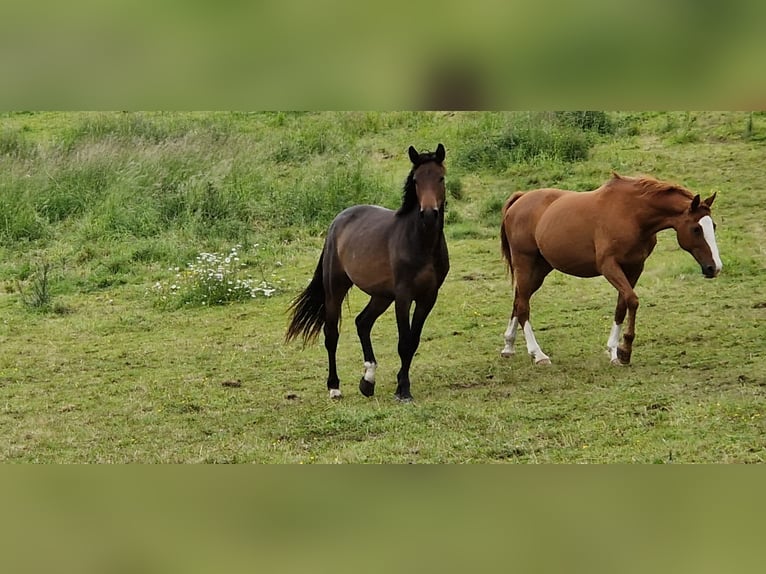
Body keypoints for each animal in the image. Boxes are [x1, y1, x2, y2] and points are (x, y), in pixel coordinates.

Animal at [286, 144, 449, 401]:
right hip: (336, 289)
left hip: (381, 295)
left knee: (362, 322)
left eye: (440, 178)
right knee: (331, 334)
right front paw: (403, 390)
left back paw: (368, 381)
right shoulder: (403, 296)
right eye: (416, 180)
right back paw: (334, 387)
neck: (421, 243)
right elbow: (404, 342)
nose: (429, 214)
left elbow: (413, 341)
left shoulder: (428, 297)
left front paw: (401, 385)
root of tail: (337, 221)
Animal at [499, 172, 722, 366]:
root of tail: (520, 199)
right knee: (523, 306)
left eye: (713, 226)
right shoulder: (609, 266)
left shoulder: (634, 267)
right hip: (525, 263)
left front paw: (615, 351)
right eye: (696, 228)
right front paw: (625, 350)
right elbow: (632, 300)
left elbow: (621, 305)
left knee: (519, 300)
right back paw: (538, 354)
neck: (632, 214)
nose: (715, 268)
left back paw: (509, 346)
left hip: (540, 269)